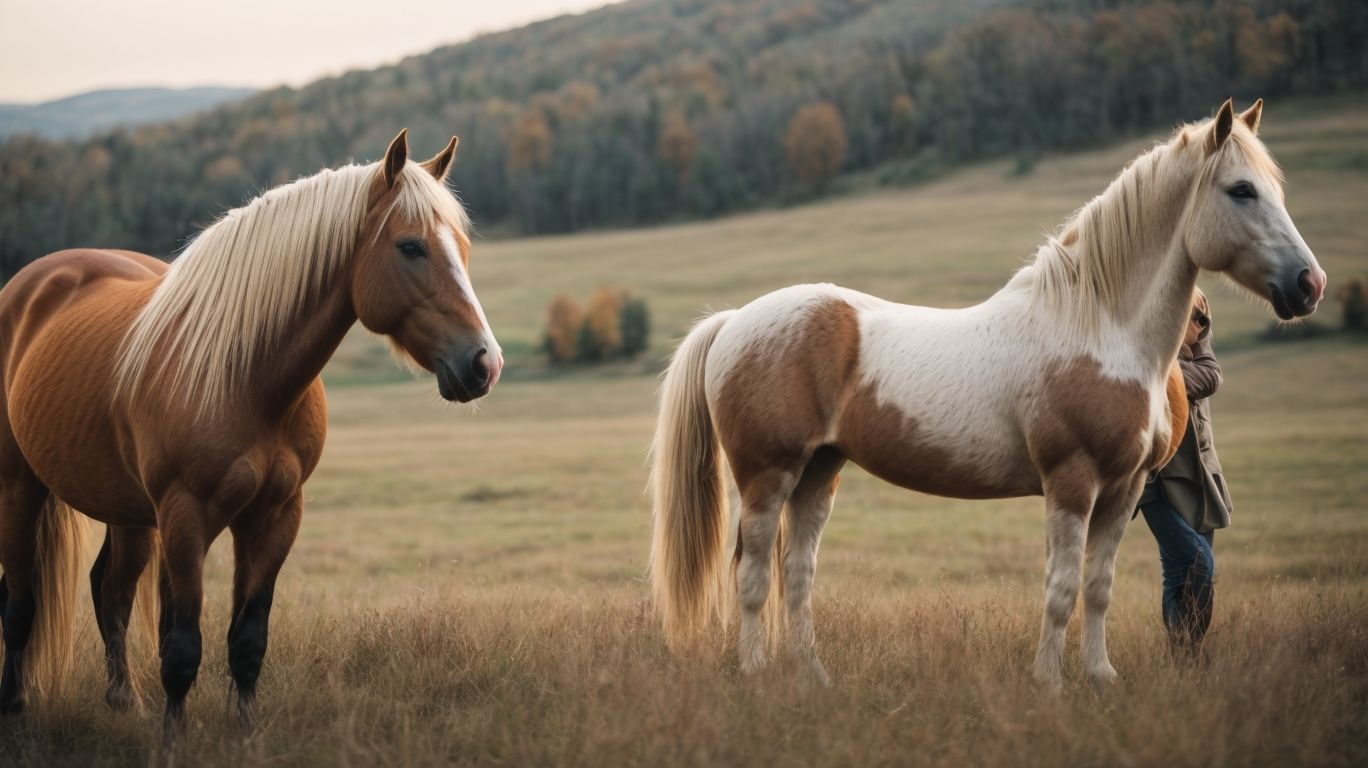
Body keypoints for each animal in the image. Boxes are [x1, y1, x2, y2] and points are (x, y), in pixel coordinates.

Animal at [0, 129, 502, 736]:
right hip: (21, 489)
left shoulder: (275, 515)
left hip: (128, 511)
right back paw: (16, 707)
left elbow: (246, 642)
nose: (484, 363)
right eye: (410, 247)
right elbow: (181, 648)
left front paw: (244, 735)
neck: (244, 377)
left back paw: (124, 702)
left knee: (109, 591)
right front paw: (173, 742)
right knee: (20, 602)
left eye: (464, 247)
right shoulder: (185, 518)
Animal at [649, 99, 1326, 690]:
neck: (1096, 325)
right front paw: (1049, 683)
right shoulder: (1072, 483)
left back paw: (812, 679)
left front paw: (1100, 678)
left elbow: (1098, 587)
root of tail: (735, 321)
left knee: (797, 574)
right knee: (752, 574)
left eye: (1275, 187)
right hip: (768, 476)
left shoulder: (1125, 489)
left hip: (820, 471)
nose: (1309, 284)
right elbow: (1060, 589)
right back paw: (755, 676)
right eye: (1241, 190)